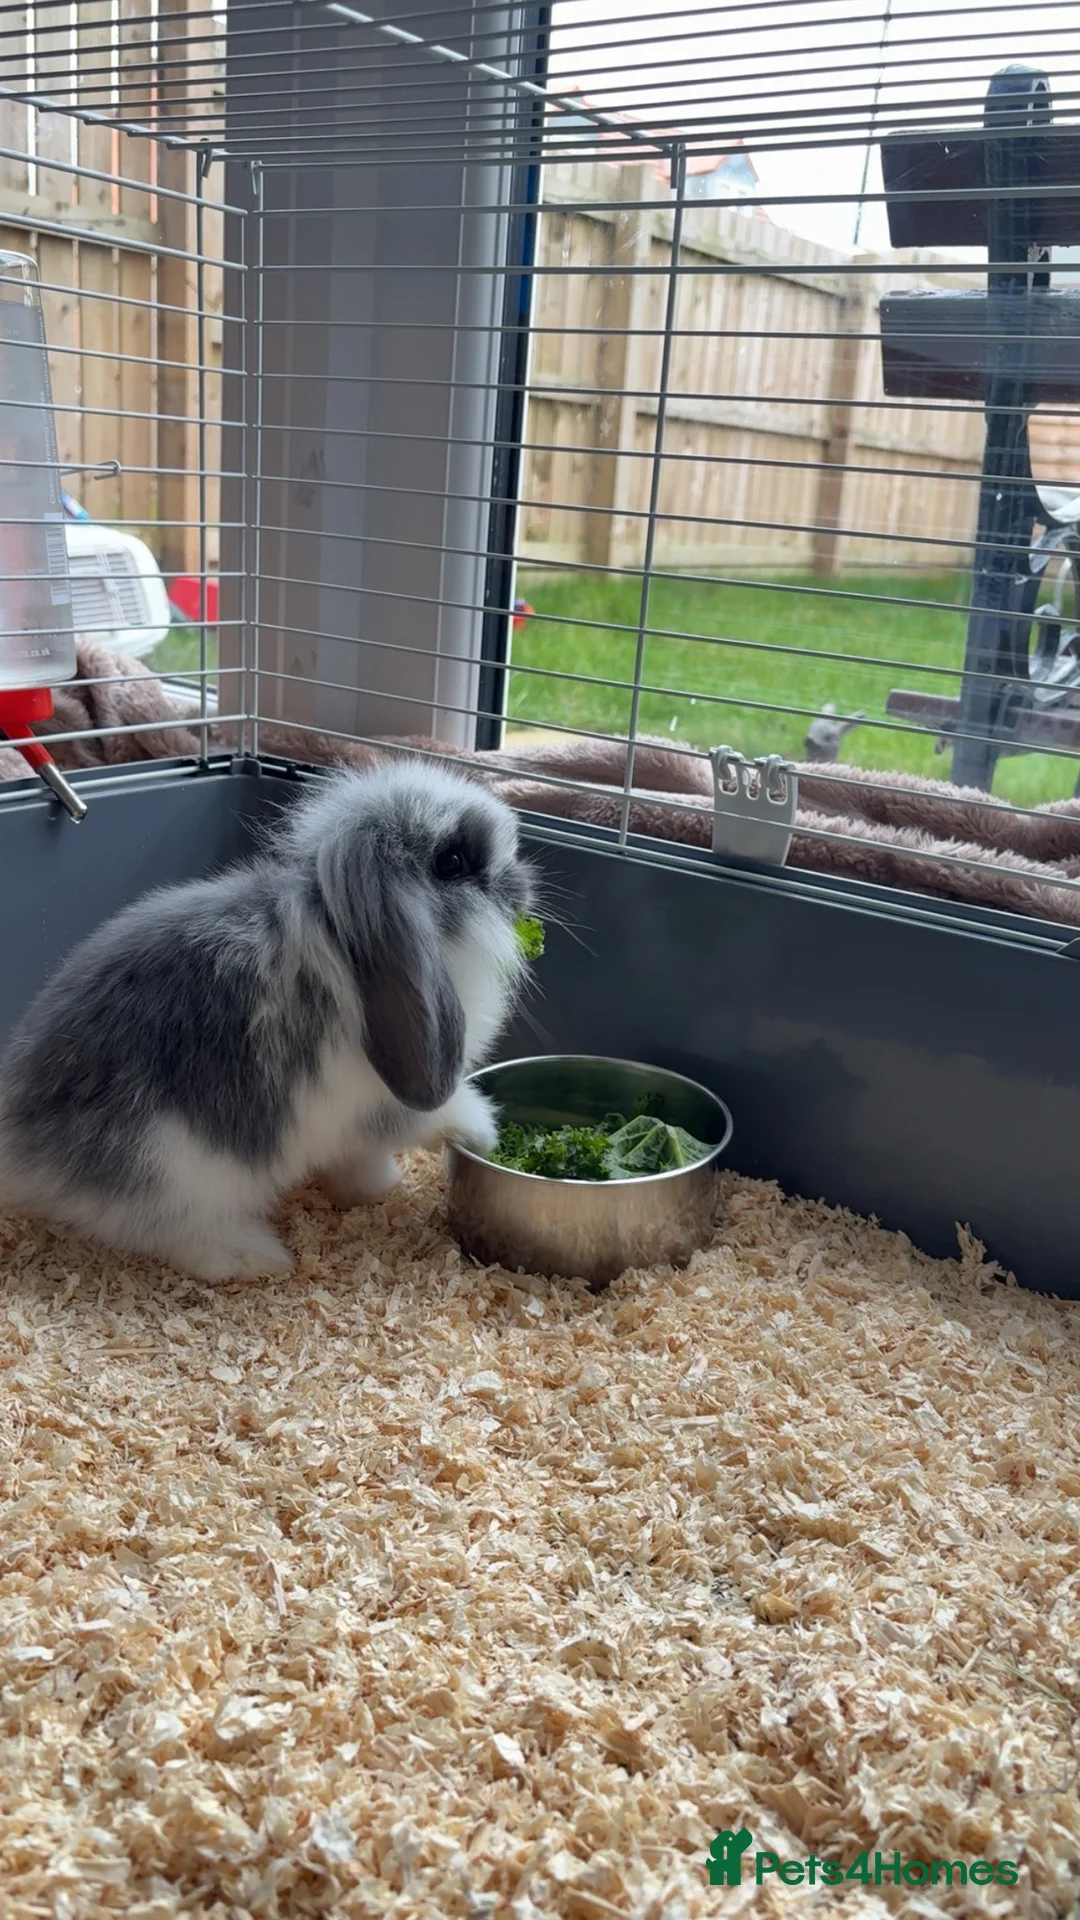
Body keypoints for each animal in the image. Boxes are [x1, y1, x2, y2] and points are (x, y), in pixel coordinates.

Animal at [0, 762, 534, 1281]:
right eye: (451, 862)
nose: (523, 883)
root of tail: (21, 1147)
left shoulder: (351, 1129)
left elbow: (357, 1159)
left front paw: (374, 1189)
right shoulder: (383, 1101)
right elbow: (437, 1114)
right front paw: (484, 1131)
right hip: (174, 1162)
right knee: (167, 1227)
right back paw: (254, 1258)